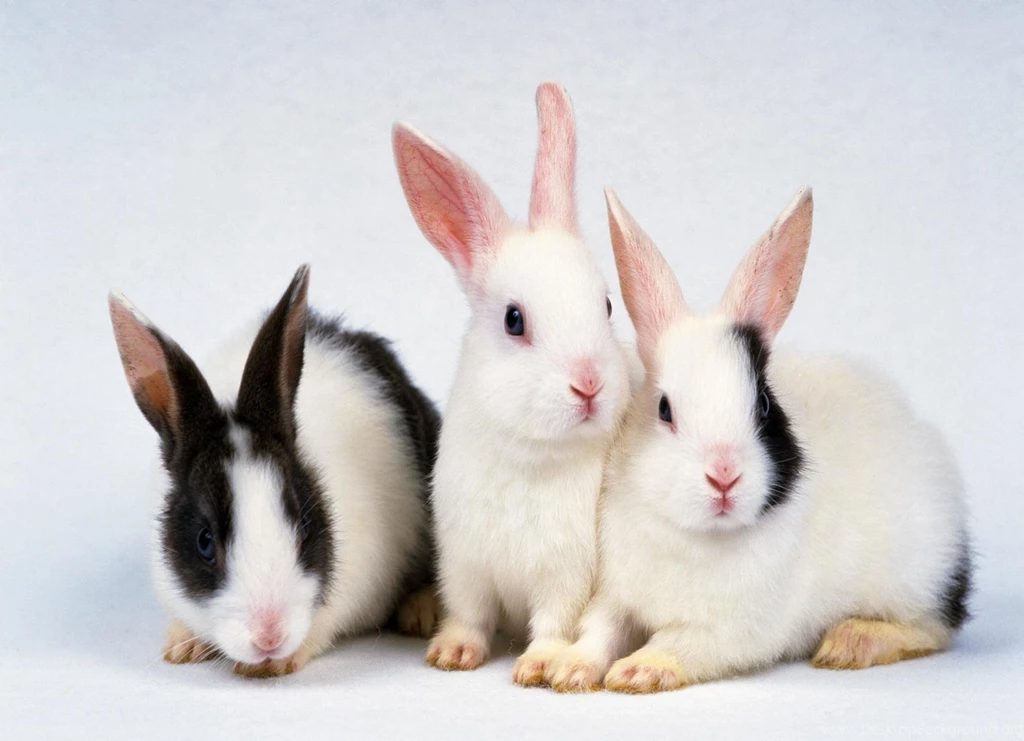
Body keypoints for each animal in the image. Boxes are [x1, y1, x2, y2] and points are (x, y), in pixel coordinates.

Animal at [108, 265, 441, 677]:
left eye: (305, 526)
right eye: (204, 541)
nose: (269, 638)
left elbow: (322, 627)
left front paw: (276, 664)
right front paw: (181, 646)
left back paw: (421, 613)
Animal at [391, 82, 635, 685]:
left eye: (606, 305)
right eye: (514, 320)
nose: (589, 384)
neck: (529, 454)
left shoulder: (565, 575)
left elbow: (553, 622)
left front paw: (541, 665)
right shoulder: (466, 565)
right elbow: (470, 615)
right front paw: (452, 653)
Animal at [545, 187, 972, 693]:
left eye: (764, 406)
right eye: (664, 410)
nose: (724, 476)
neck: (695, 535)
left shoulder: (728, 632)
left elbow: (677, 642)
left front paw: (638, 671)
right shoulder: (617, 594)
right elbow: (599, 630)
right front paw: (569, 669)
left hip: (915, 577)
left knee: (934, 627)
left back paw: (850, 642)